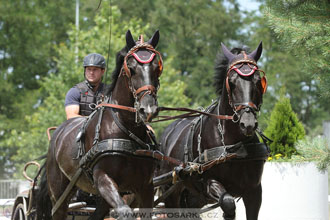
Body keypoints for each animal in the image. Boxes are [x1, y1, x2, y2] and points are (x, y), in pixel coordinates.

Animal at [36, 29, 163, 220]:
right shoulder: (103, 179)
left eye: (157, 68)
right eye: (131, 69)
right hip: (60, 194)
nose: (147, 109)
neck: (124, 129)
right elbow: (124, 212)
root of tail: (56, 136)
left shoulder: (146, 188)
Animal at [159, 42, 270, 220]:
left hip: (194, 197)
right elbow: (228, 203)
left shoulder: (254, 191)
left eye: (258, 80)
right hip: (171, 190)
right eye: (231, 82)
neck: (234, 144)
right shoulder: (209, 182)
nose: (248, 123)